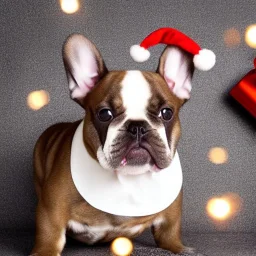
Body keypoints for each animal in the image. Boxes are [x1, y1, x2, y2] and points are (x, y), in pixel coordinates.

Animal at [30, 34, 194, 256]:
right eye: (105, 114)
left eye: (166, 113)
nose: (137, 127)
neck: (128, 178)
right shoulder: (51, 210)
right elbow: (50, 235)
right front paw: (45, 251)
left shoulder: (171, 214)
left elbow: (170, 234)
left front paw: (180, 248)